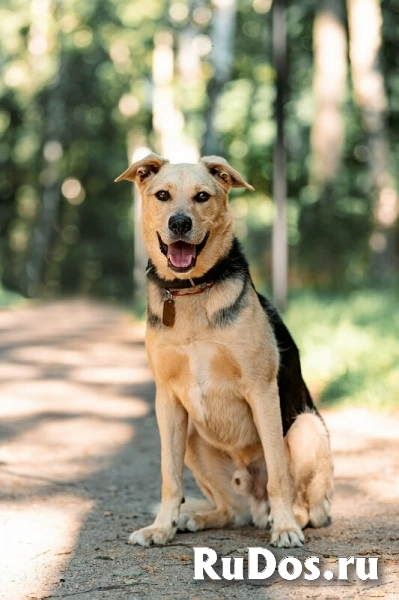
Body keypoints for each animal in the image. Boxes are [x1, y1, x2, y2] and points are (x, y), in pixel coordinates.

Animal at [115, 155, 334, 548]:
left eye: (202, 196)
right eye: (162, 195)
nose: (180, 223)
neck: (192, 291)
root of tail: (254, 505)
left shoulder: (261, 389)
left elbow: (278, 473)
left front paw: (285, 528)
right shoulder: (167, 399)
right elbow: (170, 478)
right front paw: (161, 527)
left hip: (306, 427)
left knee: (308, 509)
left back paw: (286, 519)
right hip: (193, 438)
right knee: (230, 511)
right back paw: (196, 518)